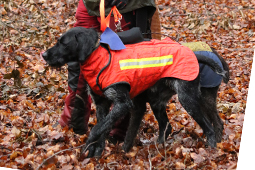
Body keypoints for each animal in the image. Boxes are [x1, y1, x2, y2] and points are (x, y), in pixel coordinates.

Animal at [42, 27, 229, 157]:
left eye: (63, 43)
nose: (44, 54)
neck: (99, 59)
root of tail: (194, 54)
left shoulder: (123, 103)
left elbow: (97, 129)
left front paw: (89, 146)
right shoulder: (102, 104)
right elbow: (102, 127)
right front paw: (97, 152)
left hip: (188, 99)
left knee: (209, 127)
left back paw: (211, 150)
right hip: (163, 102)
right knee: (169, 126)